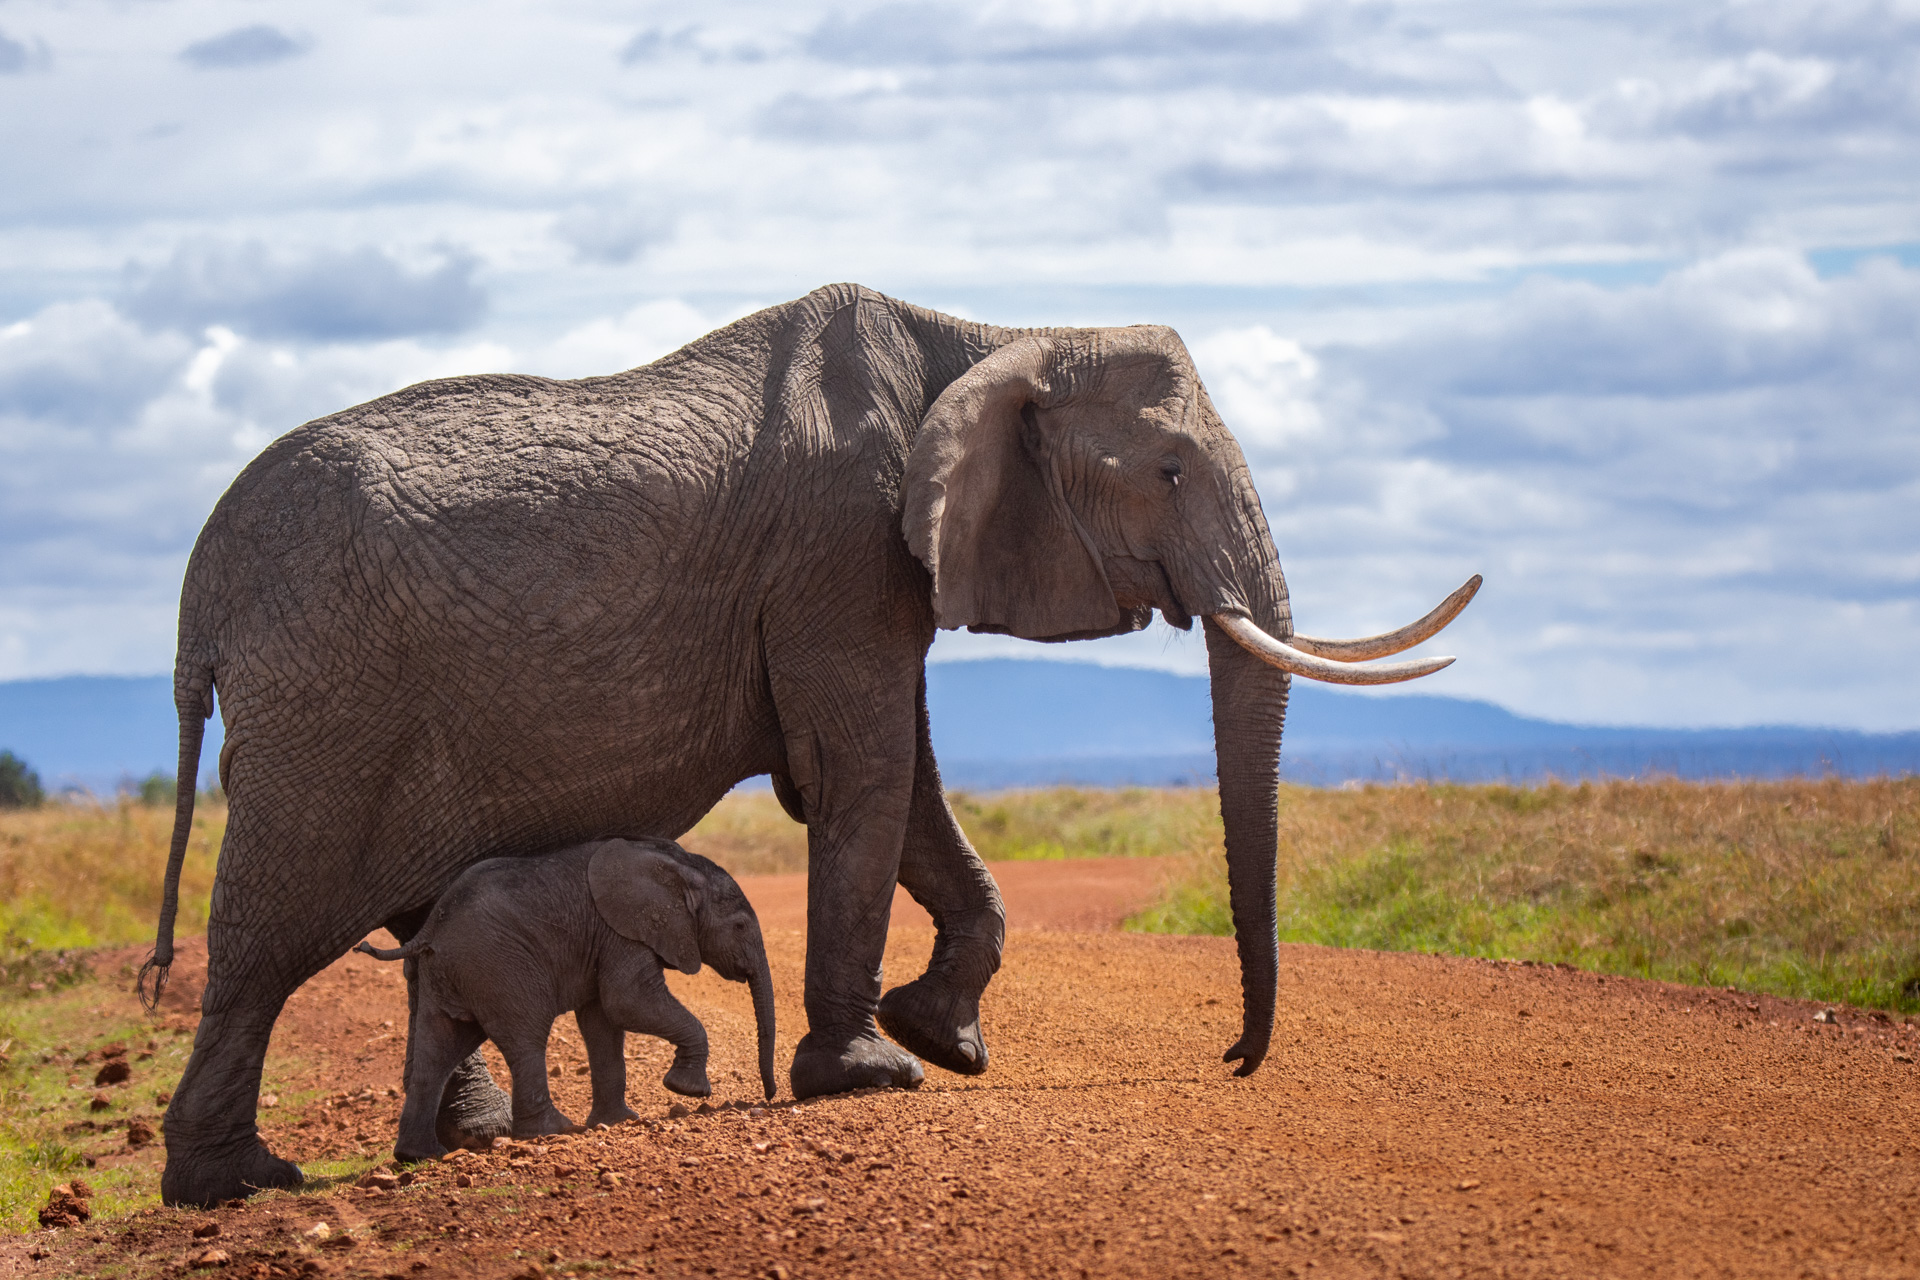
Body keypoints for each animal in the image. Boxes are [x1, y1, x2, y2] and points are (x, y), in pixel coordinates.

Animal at [357, 836, 775, 1166]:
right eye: (740, 925)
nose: (770, 1098)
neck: (681, 867)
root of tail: (432, 926)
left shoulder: (605, 938)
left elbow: (602, 1022)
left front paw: (619, 1121)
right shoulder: (620, 932)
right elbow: (628, 1002)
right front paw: (686, 1089)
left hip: (447, 974)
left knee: (437, 1050)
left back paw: (420, 1156)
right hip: (500, 965)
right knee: (526, 1037)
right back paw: (551, 1131)